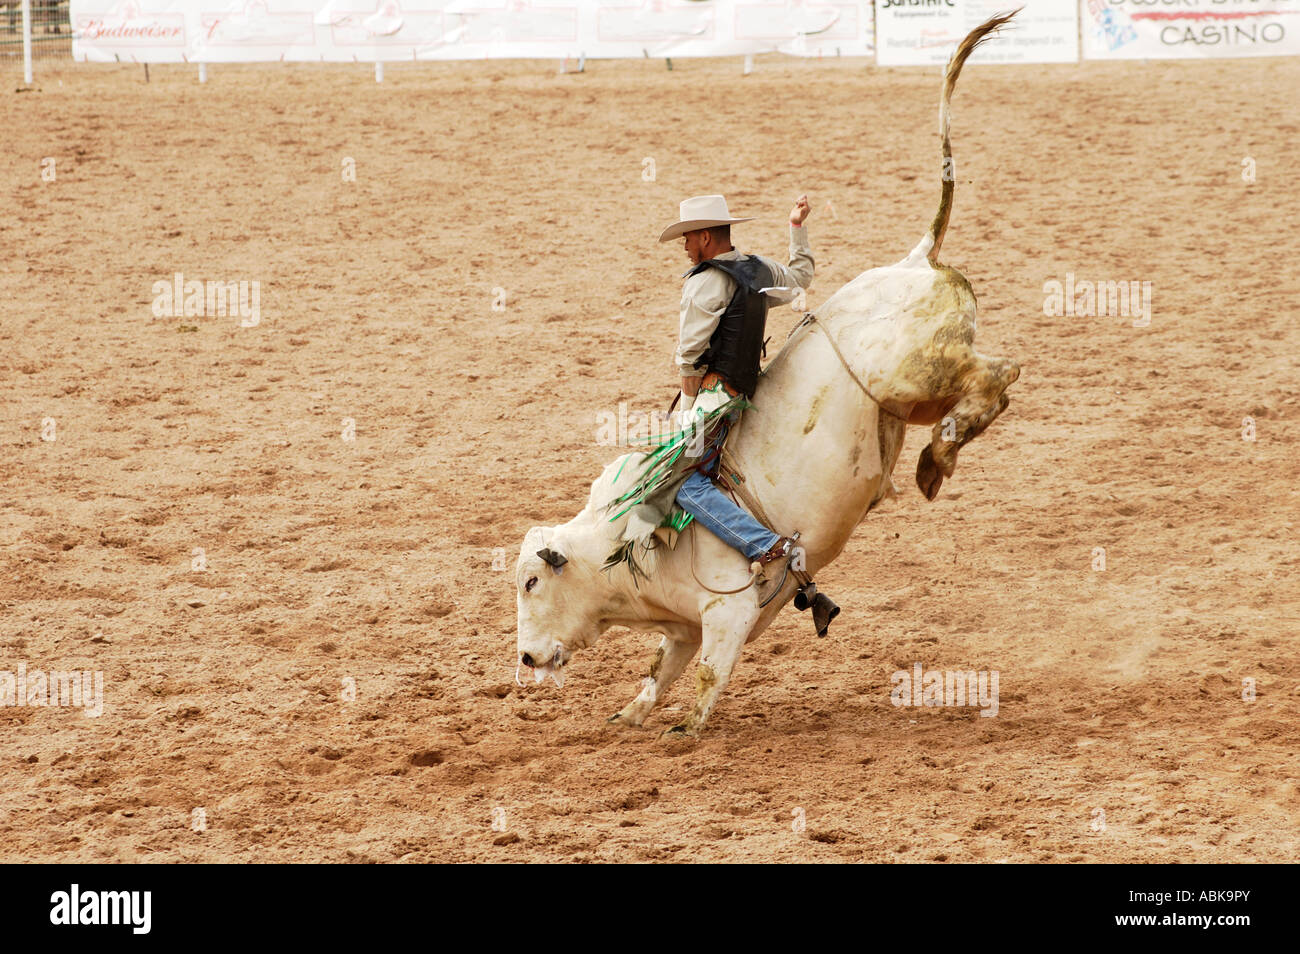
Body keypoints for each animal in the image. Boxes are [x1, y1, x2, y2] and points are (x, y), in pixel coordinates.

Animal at [515, 12, 1021, 735]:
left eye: (532, 581)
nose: (526, 659)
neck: (624, 541)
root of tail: (915, 259)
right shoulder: (682, 627)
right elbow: (661, 668)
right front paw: (630, 716)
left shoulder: (728, 610)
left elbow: (707, 675)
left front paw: (684, 733)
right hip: (909, 399)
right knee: (993, 383)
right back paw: (935, 461)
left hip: (917, 375)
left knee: (998, 375)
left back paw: (938, 459)